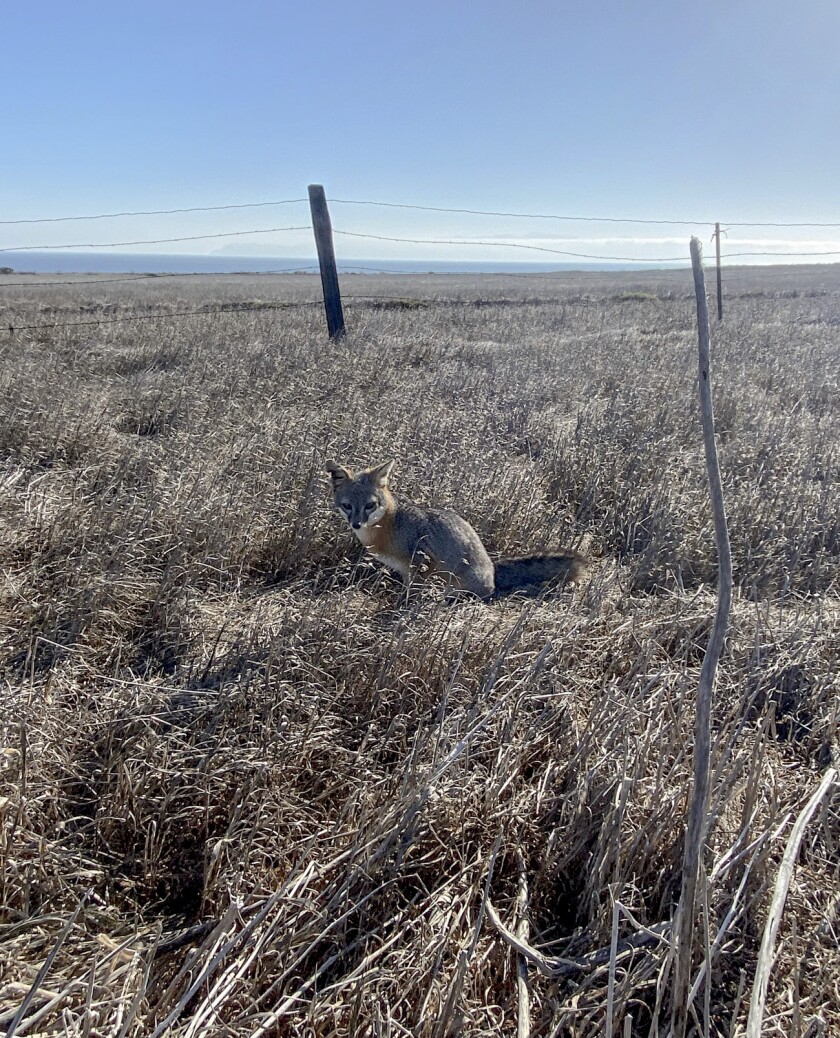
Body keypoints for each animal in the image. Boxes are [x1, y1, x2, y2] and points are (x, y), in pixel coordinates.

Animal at [323, 456, 585, 602]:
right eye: (347, 506)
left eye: (369, 505)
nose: (356, 524)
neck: (390, 525)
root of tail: (492, 568)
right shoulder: (409, 571)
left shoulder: (421, 563)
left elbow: (411, 595)